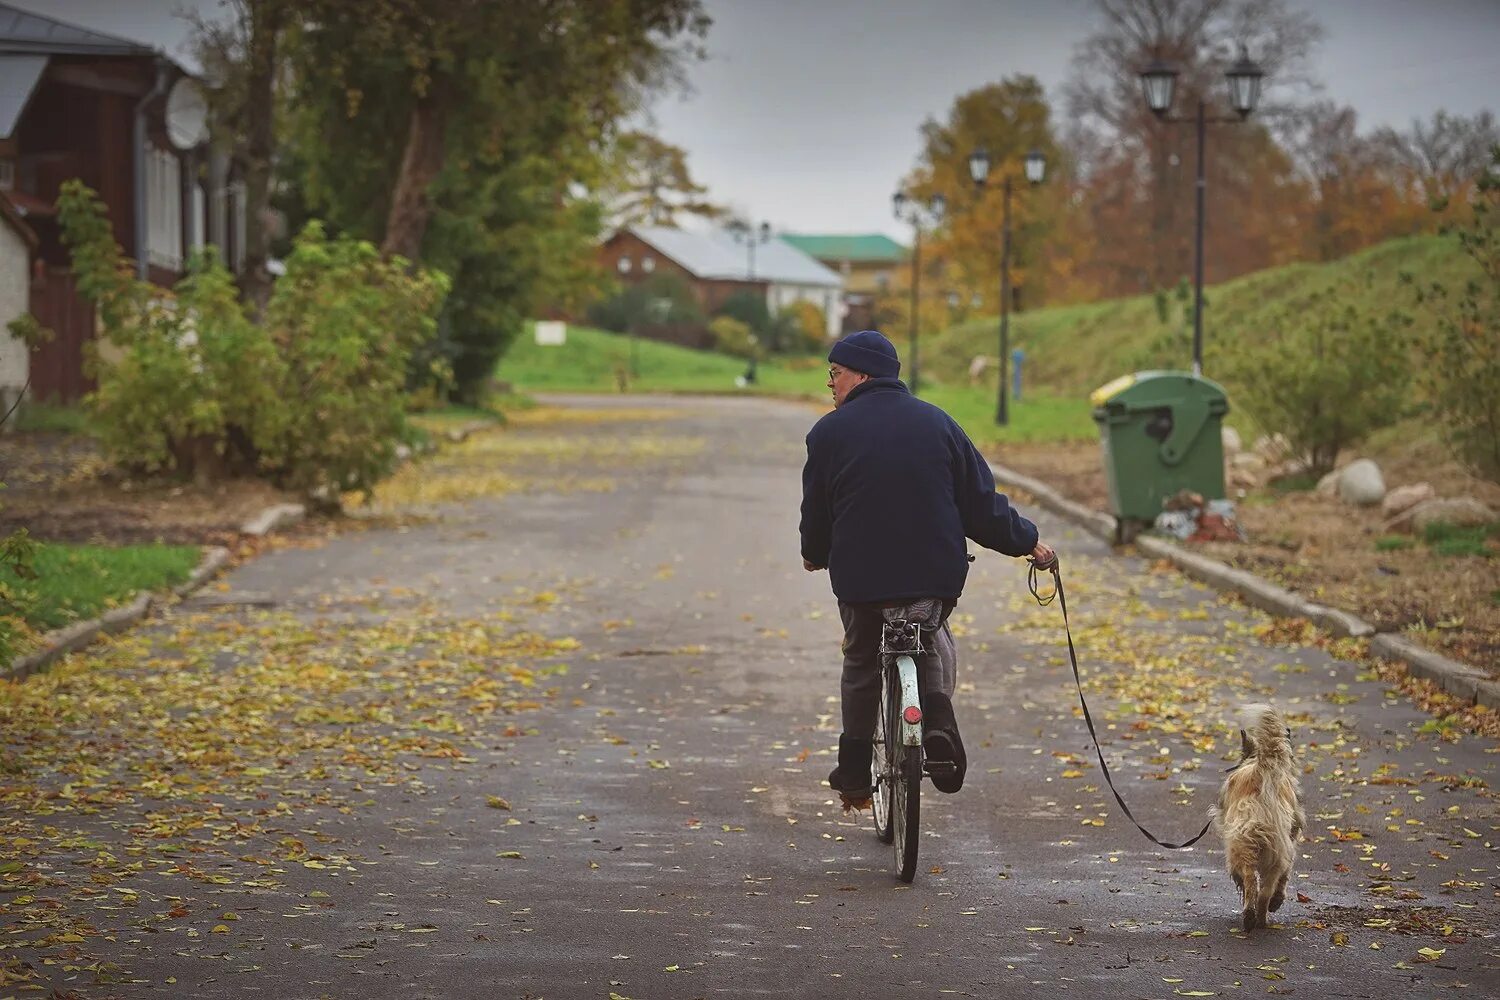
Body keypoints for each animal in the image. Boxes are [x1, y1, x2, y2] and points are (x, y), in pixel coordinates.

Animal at [1212, 704, 1308, 929]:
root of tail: (1262, 771)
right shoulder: (1289, 847)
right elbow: (1284, 878)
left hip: (1244, 844)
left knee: (1252, 882)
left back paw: (1252, 916)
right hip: (1274, 852)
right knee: (1264, 890)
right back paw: (1261, 918)